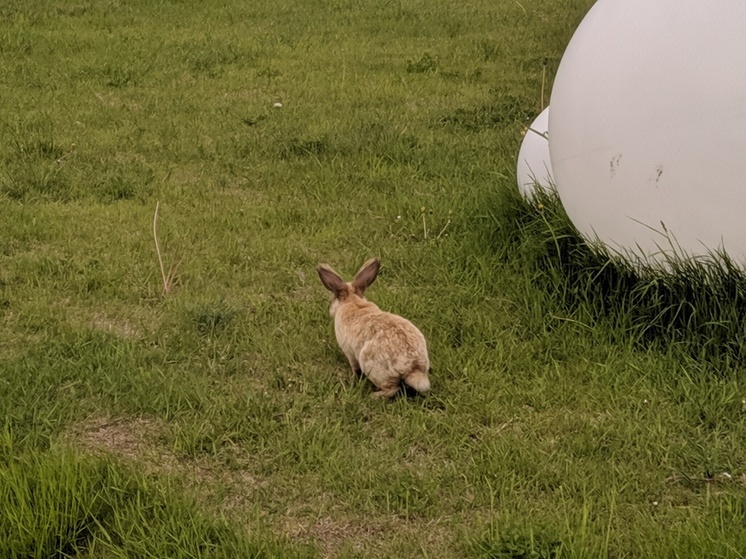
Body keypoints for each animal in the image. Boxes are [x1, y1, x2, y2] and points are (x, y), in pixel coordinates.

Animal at [316, 258, 430, 398]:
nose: (330, 310)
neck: (353, 301)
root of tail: (413, 367)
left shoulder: (349, 352)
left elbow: (354, 367)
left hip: (371, 367)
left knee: (392, 389)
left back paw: (374, 396)